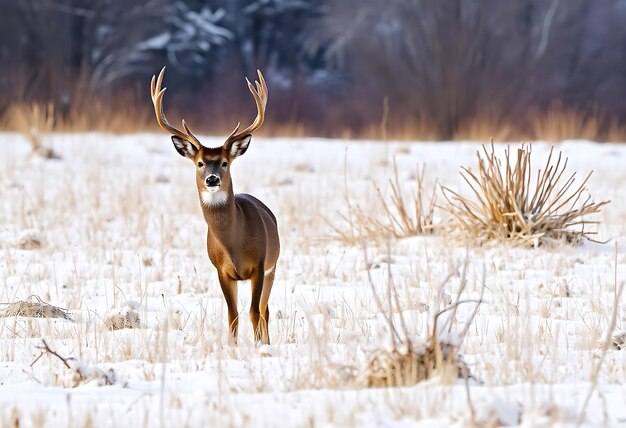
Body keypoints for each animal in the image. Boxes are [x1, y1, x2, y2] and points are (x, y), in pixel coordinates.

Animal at [149, 67, 278, 348]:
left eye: (224, 162)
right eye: (199, 163)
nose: (211, 179)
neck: (234, 244)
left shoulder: (259, 265)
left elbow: (253, 312)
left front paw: (257, 346)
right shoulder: (222, 270)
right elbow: (232, 314)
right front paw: (232, 347)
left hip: (273, 267)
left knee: (265, 310)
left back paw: (267, 342)